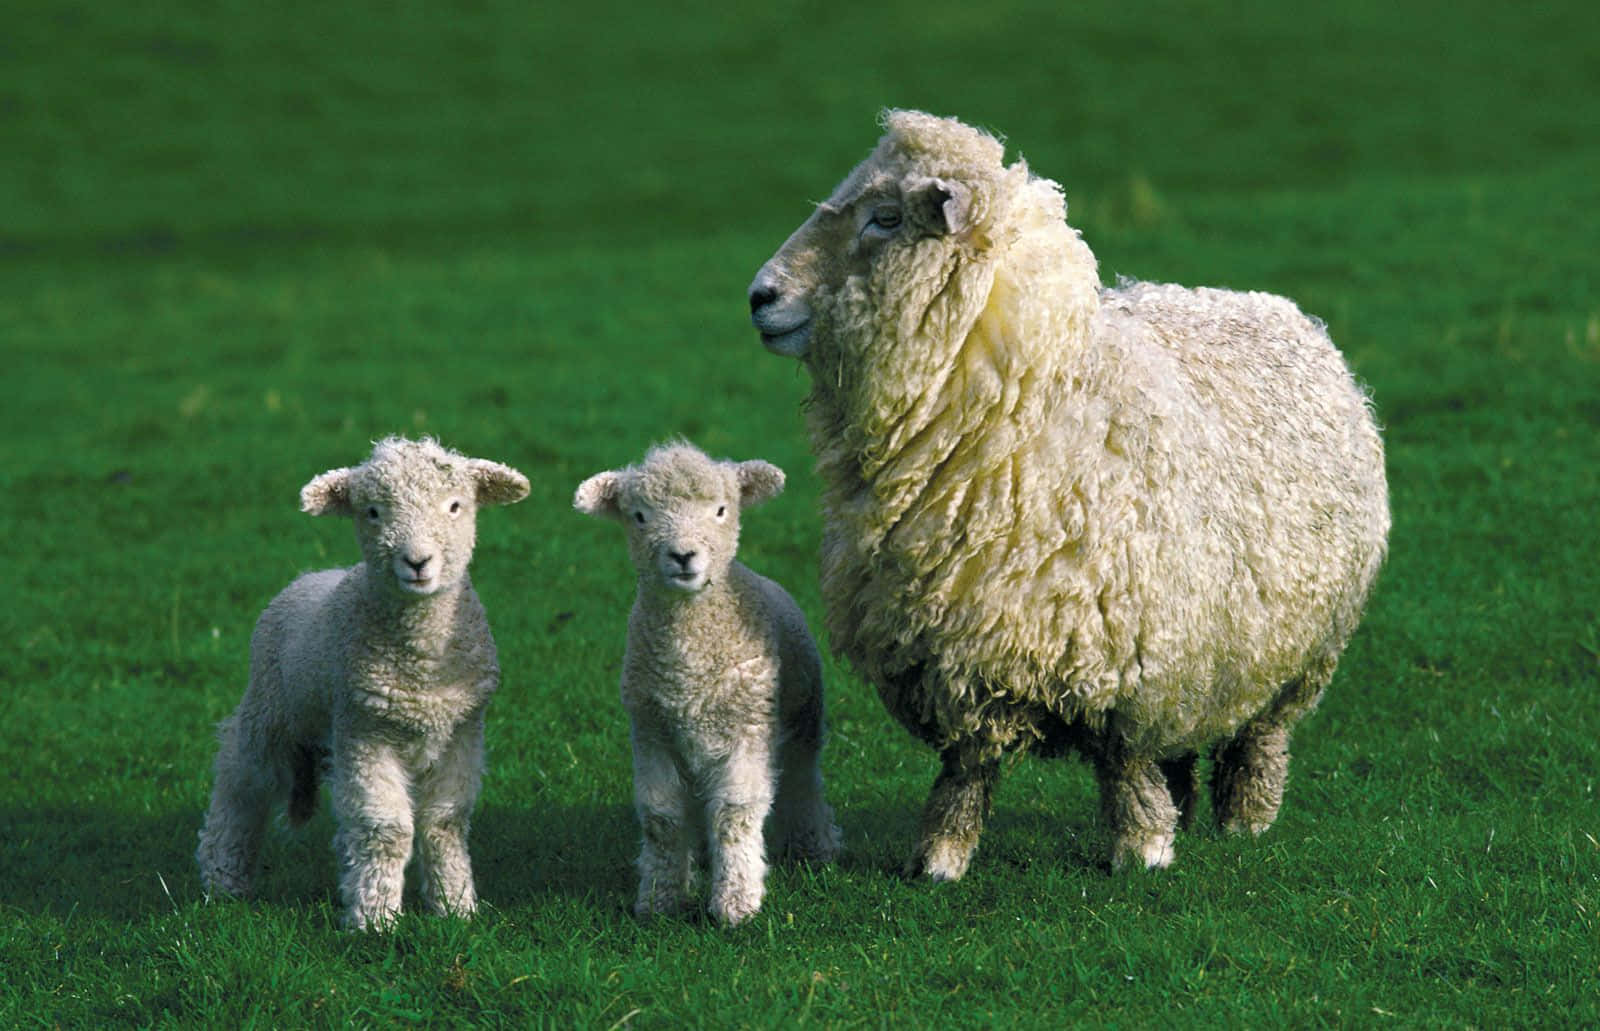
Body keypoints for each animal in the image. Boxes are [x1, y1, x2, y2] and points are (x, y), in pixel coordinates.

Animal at [196, 432, 528, 928]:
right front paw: (375, 919)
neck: (421, 661)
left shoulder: (461, 733)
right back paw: (223, 878)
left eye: (455, 506)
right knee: (240, 783)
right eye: (372, 511)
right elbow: (385, 828)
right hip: (269, 713)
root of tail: (310, 576)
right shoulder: (366, 732)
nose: (417, 561)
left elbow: (444, 823)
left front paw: (455, 908)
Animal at [579, 441, 851, 928]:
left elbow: (734, 813)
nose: (683, 555)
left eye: (722, 510)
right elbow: (662, 818)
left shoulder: (746, 730)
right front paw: (660, 900)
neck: (689, 663)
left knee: (803, 784)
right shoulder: (652, 732)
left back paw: (815, 848)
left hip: (802, 723)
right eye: (640, 516)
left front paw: (736, 903)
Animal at [748, 114, 1388, 883]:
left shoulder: (1135, 657)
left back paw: (1244, 822)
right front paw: (940, 858)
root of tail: (1274, 306)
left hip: (1296, 653)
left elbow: (1124, 761)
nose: (759, 296)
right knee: (1182, 747)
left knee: (1257, 740)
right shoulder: (957, 645)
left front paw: (1141, 850)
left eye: (886, 218)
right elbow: (968, 768)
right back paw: (1186, 814)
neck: (1024, 408)